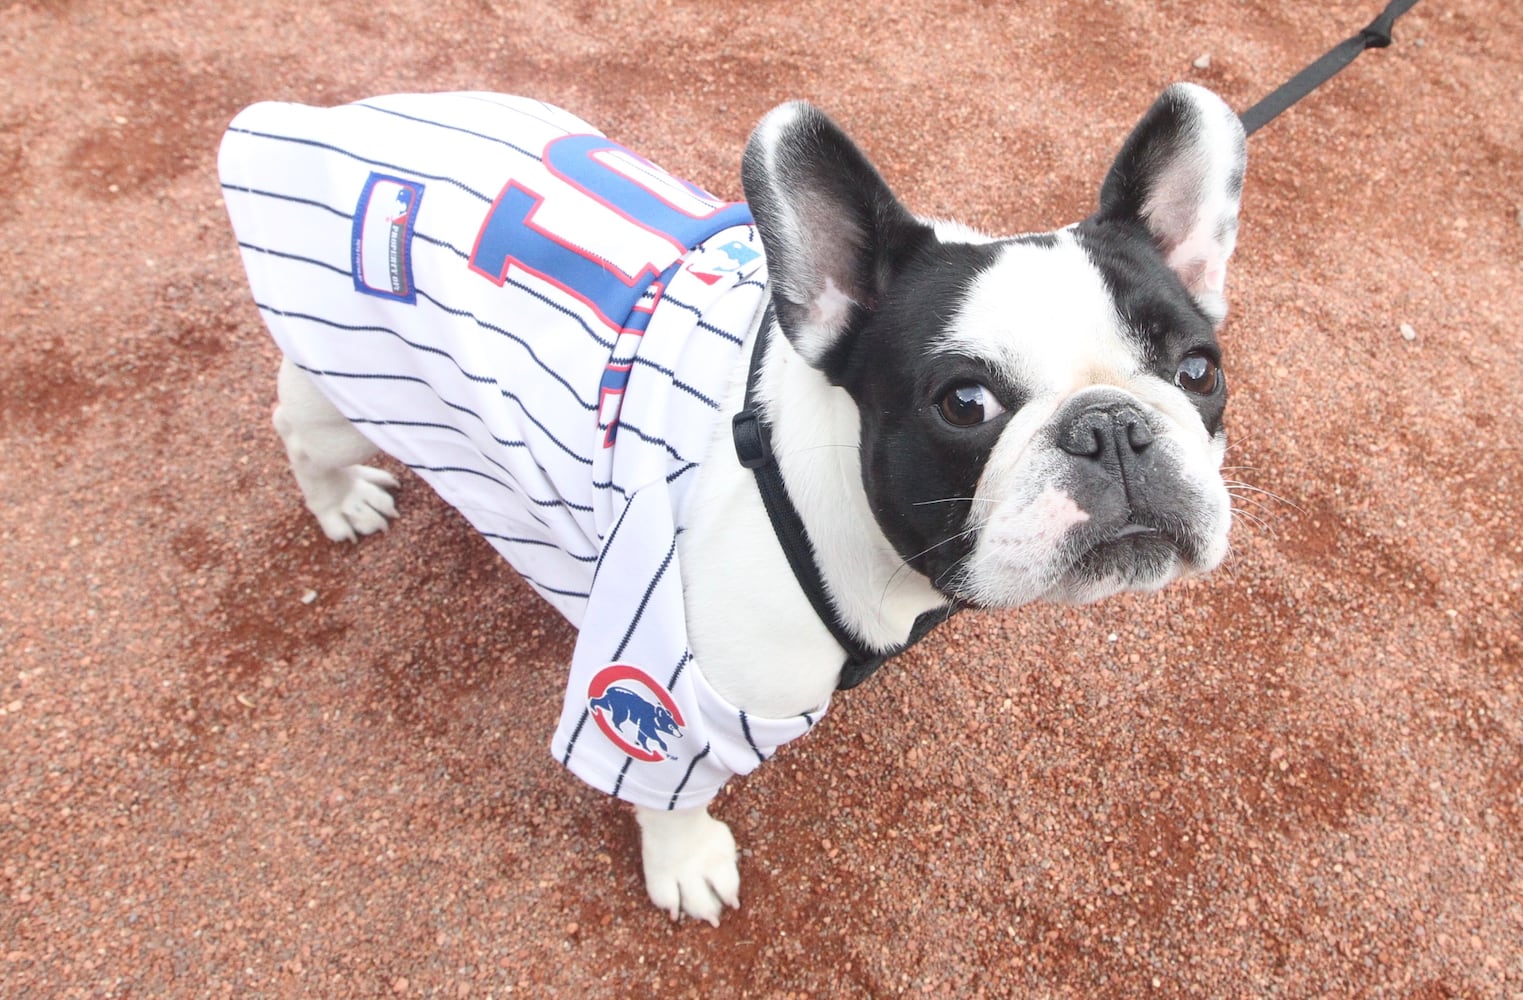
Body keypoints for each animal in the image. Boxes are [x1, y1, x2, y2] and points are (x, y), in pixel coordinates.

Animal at [228, 81, 1248, 925]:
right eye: (965, 403)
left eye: (1198, 370)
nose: (1110, 425)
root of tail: (323, 119)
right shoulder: (666, 690)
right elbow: (662, 789)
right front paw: (683, 864)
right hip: (350, 381)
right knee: (298, 427)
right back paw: (340, 501)